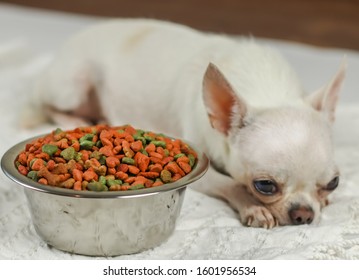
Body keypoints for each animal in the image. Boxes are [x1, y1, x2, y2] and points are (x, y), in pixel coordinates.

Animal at [23, 19, 348, 228]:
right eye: (265, 186)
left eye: (333, 183)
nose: (303, 214)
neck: (267, 90)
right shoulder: (201, 167)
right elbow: (232, 184)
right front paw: (254, 208)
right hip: (72, 84)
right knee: (49, 106)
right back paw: (83, 118)